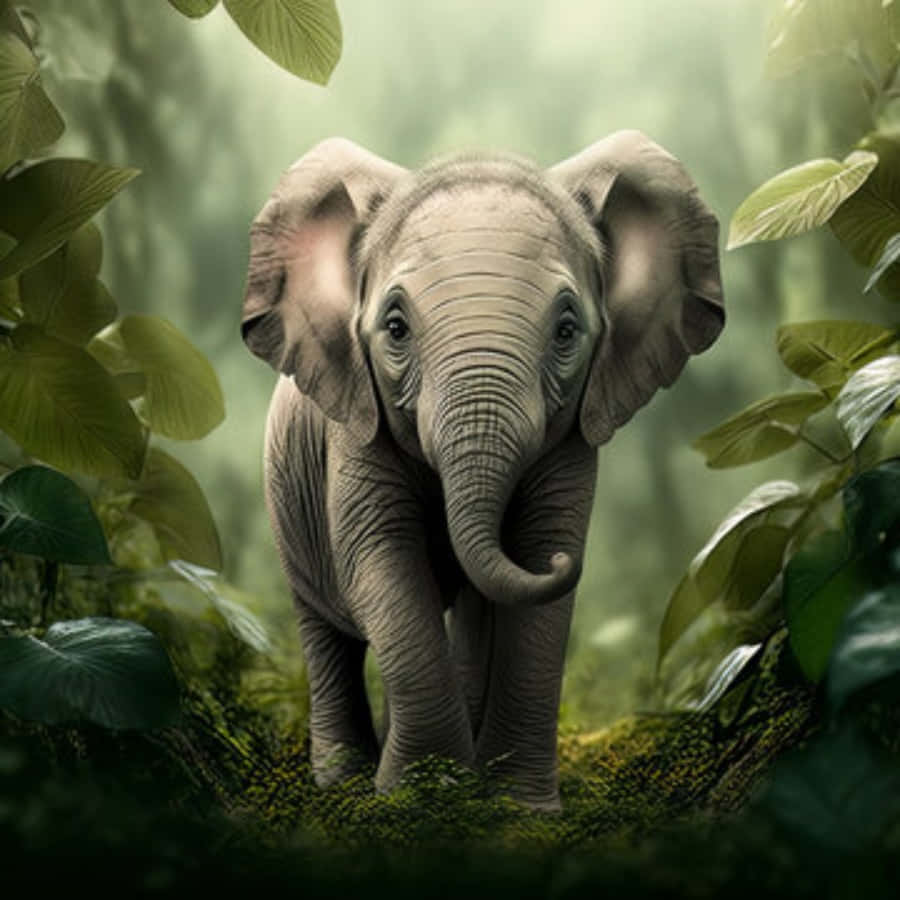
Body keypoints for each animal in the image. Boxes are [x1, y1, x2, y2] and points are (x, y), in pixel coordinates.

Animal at [240, 132, 724, 810]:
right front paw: (422, 800)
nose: (565, 563)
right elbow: (380, 563)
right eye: (395, 327)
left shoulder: (572, 436)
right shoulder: (354, 426)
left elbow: (540, 565)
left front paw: (515, 805)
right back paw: (343, 779)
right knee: (327, 626)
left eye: (568, 330)